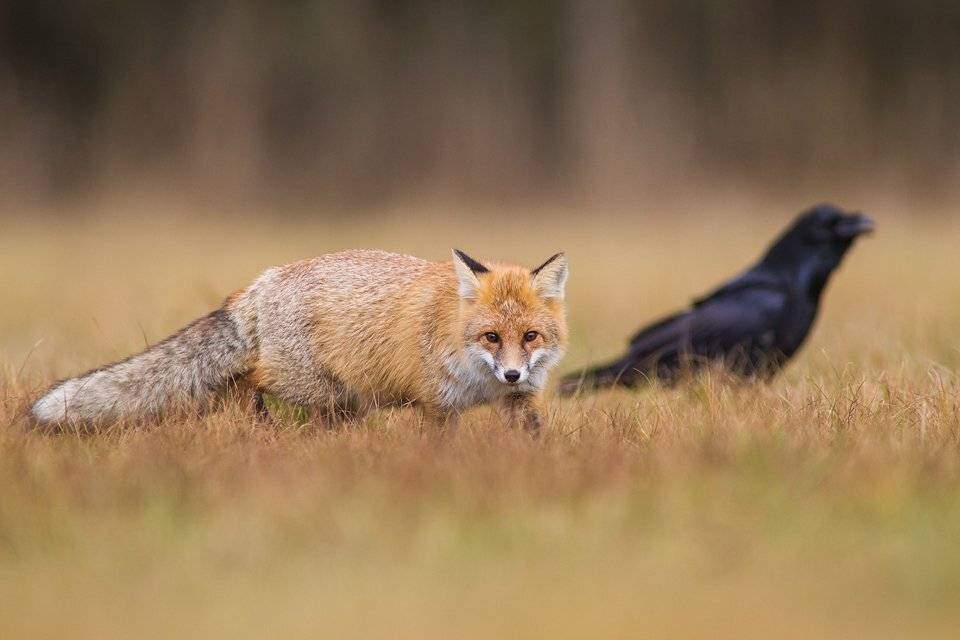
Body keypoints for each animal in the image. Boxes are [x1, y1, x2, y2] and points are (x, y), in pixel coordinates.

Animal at [31, 249, 569, 433]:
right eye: (491, 337)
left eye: (530, 336)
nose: (513, 372)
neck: (484, 385)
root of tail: (261, 281)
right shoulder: (437, 405)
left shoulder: (520, 402)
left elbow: (532, 436)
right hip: (322, 391)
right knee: (247, 379)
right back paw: (259, 425)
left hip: (341, 403)